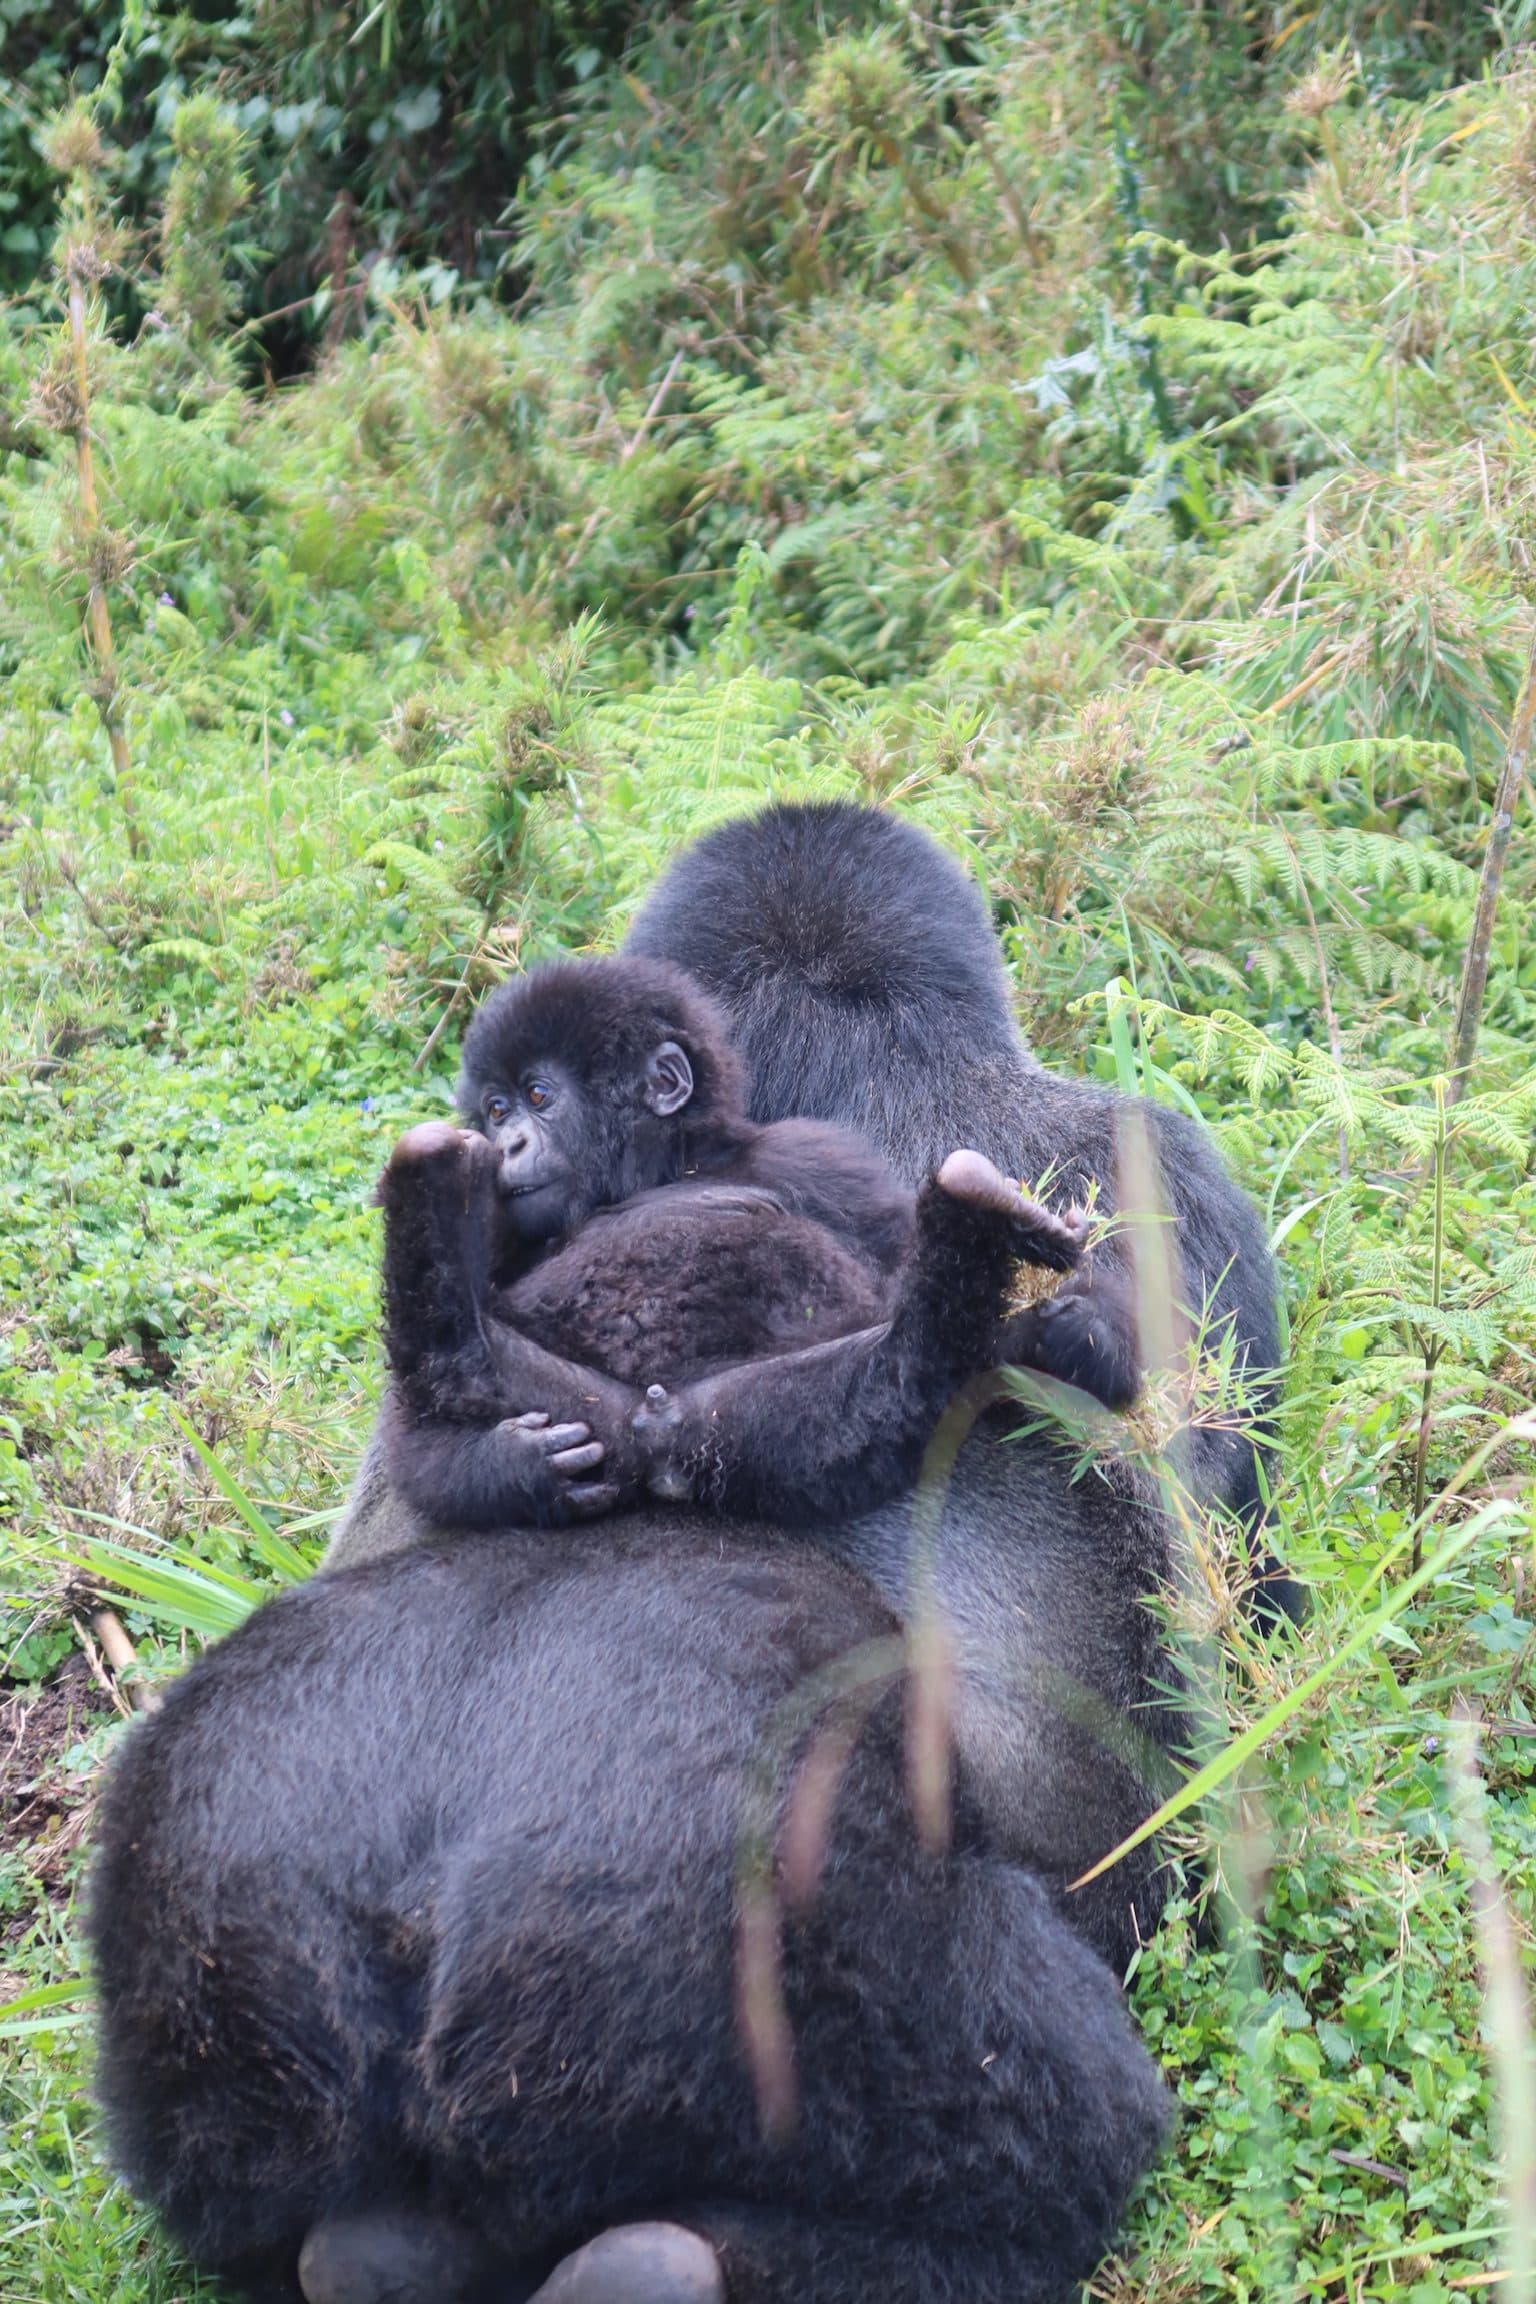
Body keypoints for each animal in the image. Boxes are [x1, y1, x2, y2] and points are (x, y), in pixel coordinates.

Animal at [378, 954, 1093, 1534]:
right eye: (497, 1110)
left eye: (537, 1096)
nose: (507, 1145)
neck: (675, 1166)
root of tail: (659, 1437)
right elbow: (412, 1448)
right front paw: (512, 1466)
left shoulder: (819, 1156)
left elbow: (886, 1260)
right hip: (589, 1410)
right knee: (450, 1373)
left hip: (756, 1434)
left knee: (906, 1374)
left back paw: (974, 1206)